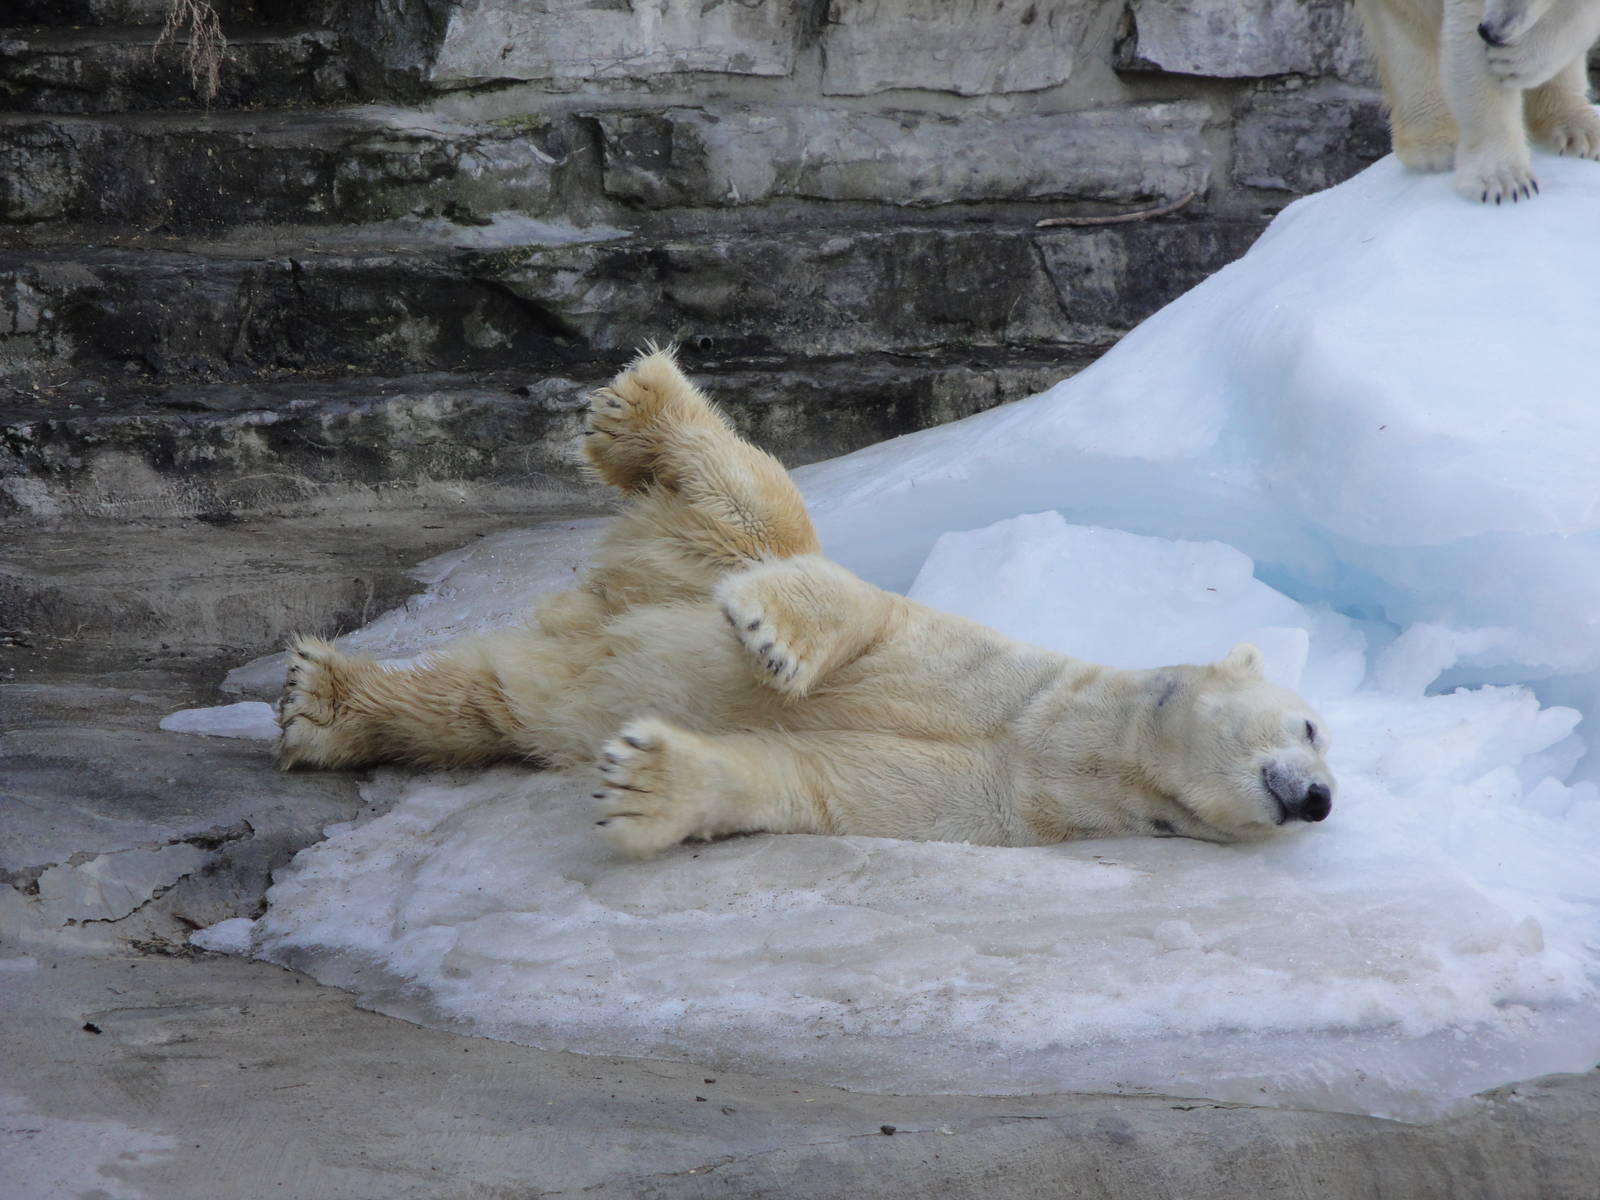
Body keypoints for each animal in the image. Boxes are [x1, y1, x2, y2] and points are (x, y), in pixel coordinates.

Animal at [277, 348, 1336, 858]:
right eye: (1314, 725)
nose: (1319, 799)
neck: (1059, 746)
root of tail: (595, 606)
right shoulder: (993, 679)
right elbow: (868, 616)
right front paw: (772, 641)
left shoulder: (994, 805)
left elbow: (805, 778)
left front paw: (645, 786)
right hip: (697, 556)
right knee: (754, 502)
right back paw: (643, 405)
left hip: (559, 669)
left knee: (481, 702)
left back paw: (325, 706)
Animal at [1354, 0, 1600, 202]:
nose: (1491, 32)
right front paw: (1504, 180)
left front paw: (1523, 57)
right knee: (1409, 18)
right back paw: (1437, 144)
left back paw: (1579, 128)